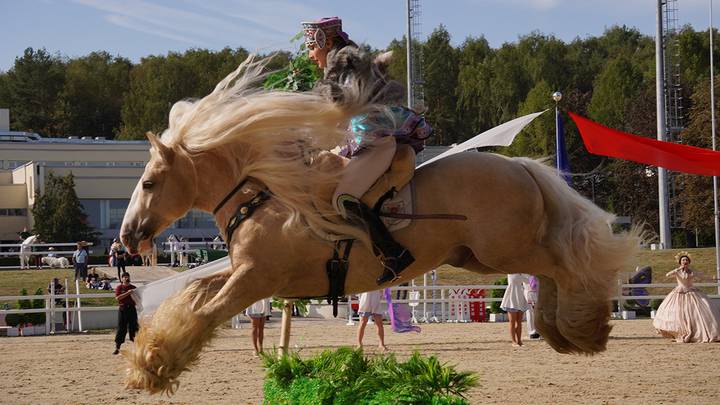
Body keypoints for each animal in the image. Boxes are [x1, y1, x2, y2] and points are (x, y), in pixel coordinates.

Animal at [119, 58, 640, 392]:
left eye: (148, 182)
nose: (127, 237)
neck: (265, 195)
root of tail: (520, 166)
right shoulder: (245, 272)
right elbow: (193, 294)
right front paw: (148, 360)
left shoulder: (255, 278)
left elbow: (206, 311)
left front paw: (155, 367)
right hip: (481, 256)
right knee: (553, 269)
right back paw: (562, 331)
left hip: (503, 250)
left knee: (563, 264)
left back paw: (584, 328)